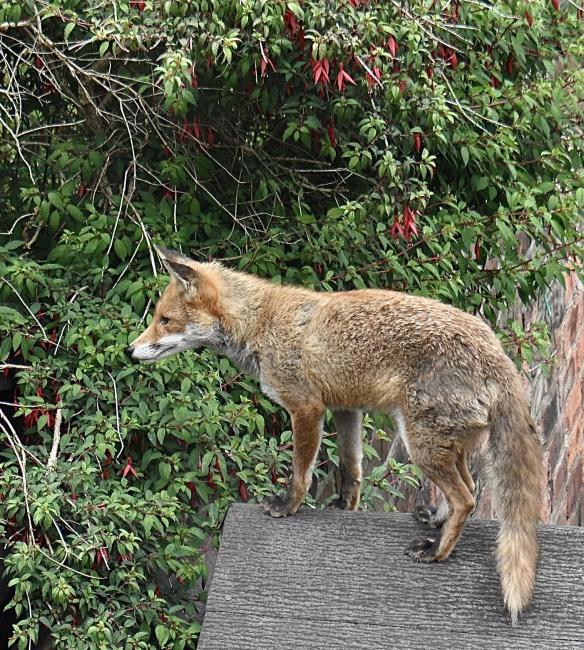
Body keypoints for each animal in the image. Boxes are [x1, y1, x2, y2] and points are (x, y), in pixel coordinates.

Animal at [130, 244, 544, 624]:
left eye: (165, 320)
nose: (131, 350)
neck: (261, 323)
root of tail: (497, 352)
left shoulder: (306, 408)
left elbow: (301, 471)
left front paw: (288, 507)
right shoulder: (347, 408)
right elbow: (351, 469)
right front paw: (346, 508)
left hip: (420, 445)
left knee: (467, 499)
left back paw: (436, 553)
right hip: (440, 444)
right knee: (469, 489)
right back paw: (437, 526)